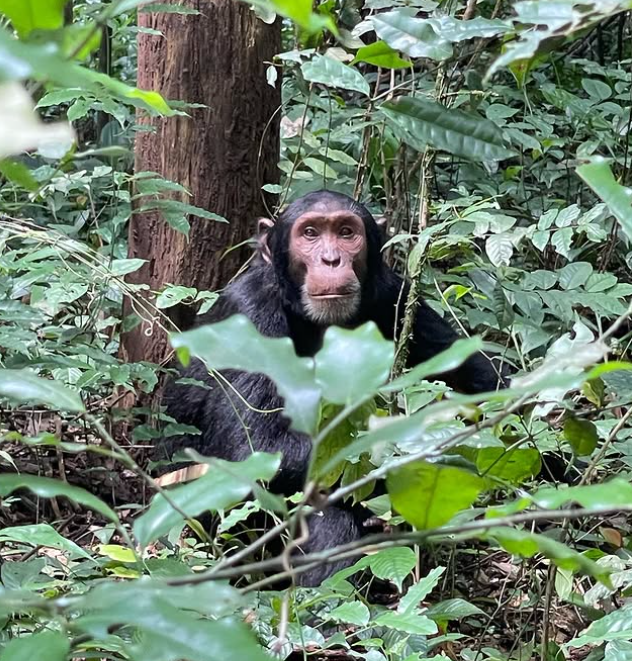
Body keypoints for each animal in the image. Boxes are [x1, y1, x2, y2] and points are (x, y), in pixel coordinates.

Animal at [159, 188, 508, 584]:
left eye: (345, 232)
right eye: (310, 234)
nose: (330, 259)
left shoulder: (397, 296)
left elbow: (477, 376)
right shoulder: (249, 314)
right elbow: (253, 448)